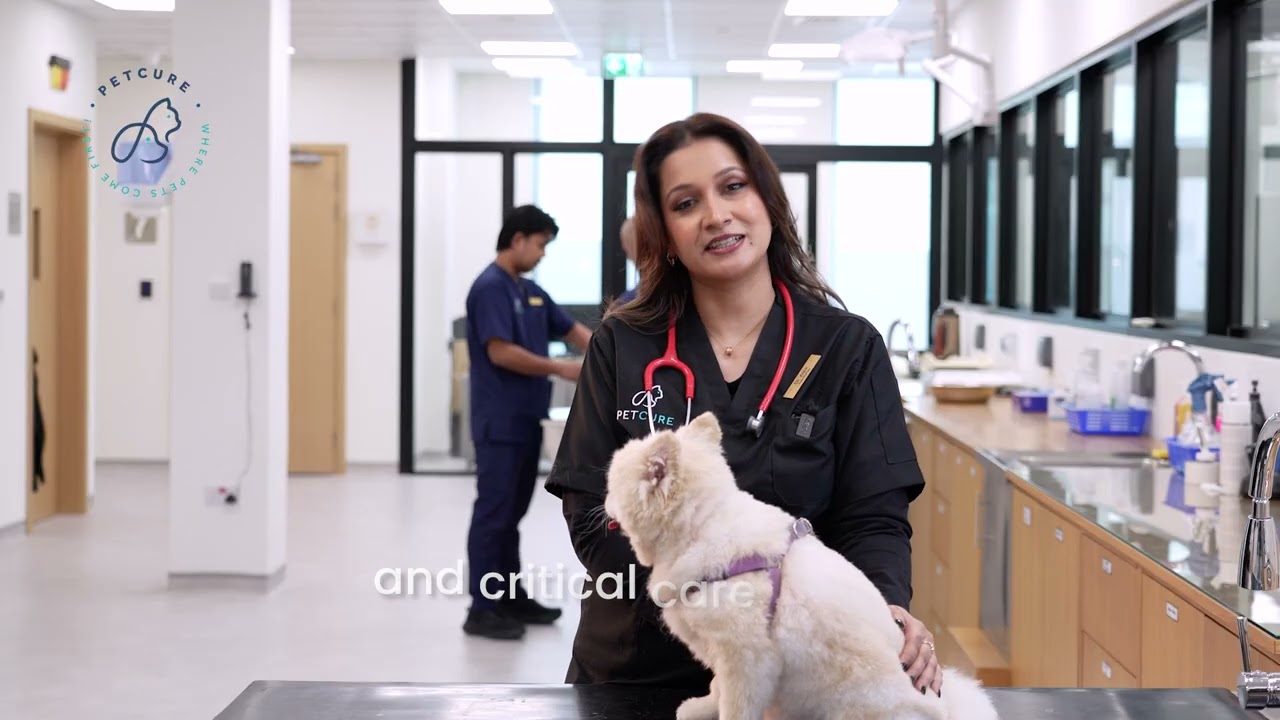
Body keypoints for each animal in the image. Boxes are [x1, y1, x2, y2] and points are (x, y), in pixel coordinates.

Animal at [602, 411, 999, 720]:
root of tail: (943, 709)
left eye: (611, 484)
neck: (701, 526)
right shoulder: (724, 657)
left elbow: (735, 705)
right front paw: (700, 707)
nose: (601, 501)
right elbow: (717, 689)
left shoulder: (747, 659)